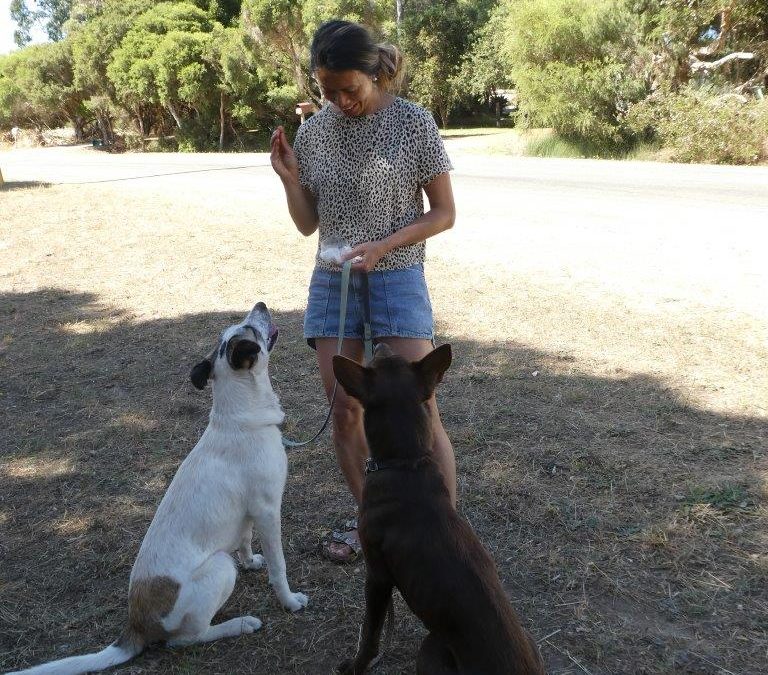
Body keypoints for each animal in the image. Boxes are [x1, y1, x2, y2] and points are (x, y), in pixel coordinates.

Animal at [10, 304, 308, 672]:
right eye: (251, 329)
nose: (262, 306)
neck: (240, 419)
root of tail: (136, 625)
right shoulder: (268, 510)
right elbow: (279, 567)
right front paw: (290, 601)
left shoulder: (250, 513)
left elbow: (244, 538)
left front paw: (251, 560)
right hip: (220, 569)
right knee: (185, 639)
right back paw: (239, 625)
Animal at [332, 346, 544, 672]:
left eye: (376, 362)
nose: (380, 343)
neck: (406, 461)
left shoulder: (377, 576)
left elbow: (370, 632)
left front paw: (357, 666)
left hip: (430, 648)